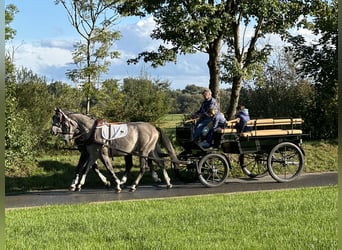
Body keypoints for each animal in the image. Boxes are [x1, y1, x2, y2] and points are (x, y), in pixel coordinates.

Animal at [51, 108, 179, 192]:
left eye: (62, 122)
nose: (53, 132)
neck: (92, 131)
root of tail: (153, 127)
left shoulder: (101, 154)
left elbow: (108, 168)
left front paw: (116, 184)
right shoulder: (90, 153)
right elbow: (85, 168)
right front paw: (77, 184)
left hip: (143, 151)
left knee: (144, 167)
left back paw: (133, 185)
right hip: (149, 151)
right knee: (160, 162)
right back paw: (167, 182)